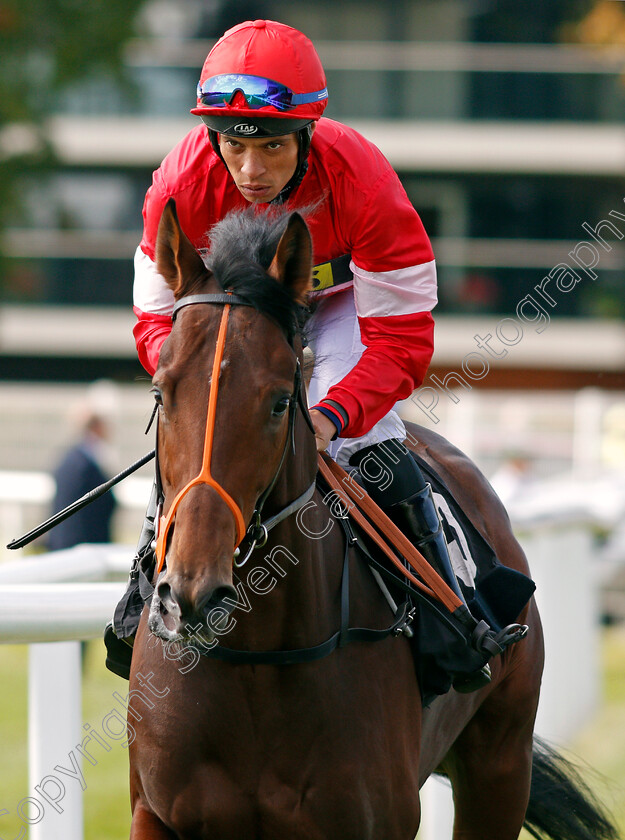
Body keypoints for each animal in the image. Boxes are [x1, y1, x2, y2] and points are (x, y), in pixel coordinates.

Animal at [128, 200, 620, 840]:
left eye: (279, 402)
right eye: (160, 393)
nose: (192, 594)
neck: (257, 659)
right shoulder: (154, 812)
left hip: (500, 761)